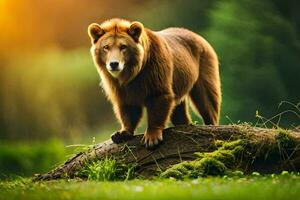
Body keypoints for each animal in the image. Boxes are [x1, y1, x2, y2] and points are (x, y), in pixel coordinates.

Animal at [88, 18, 221, 148]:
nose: (114, 64)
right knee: (179, 109)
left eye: (123, 46)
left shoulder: (153, 70)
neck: (131, 74)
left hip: (203, 64)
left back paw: (211, 124)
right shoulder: (120, 86)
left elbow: (158, 98)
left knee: (206, 99)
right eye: (106, 47)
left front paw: (152, 137)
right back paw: (185, 124)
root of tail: (197, 35)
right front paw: (121, 133)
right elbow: (127, 106)